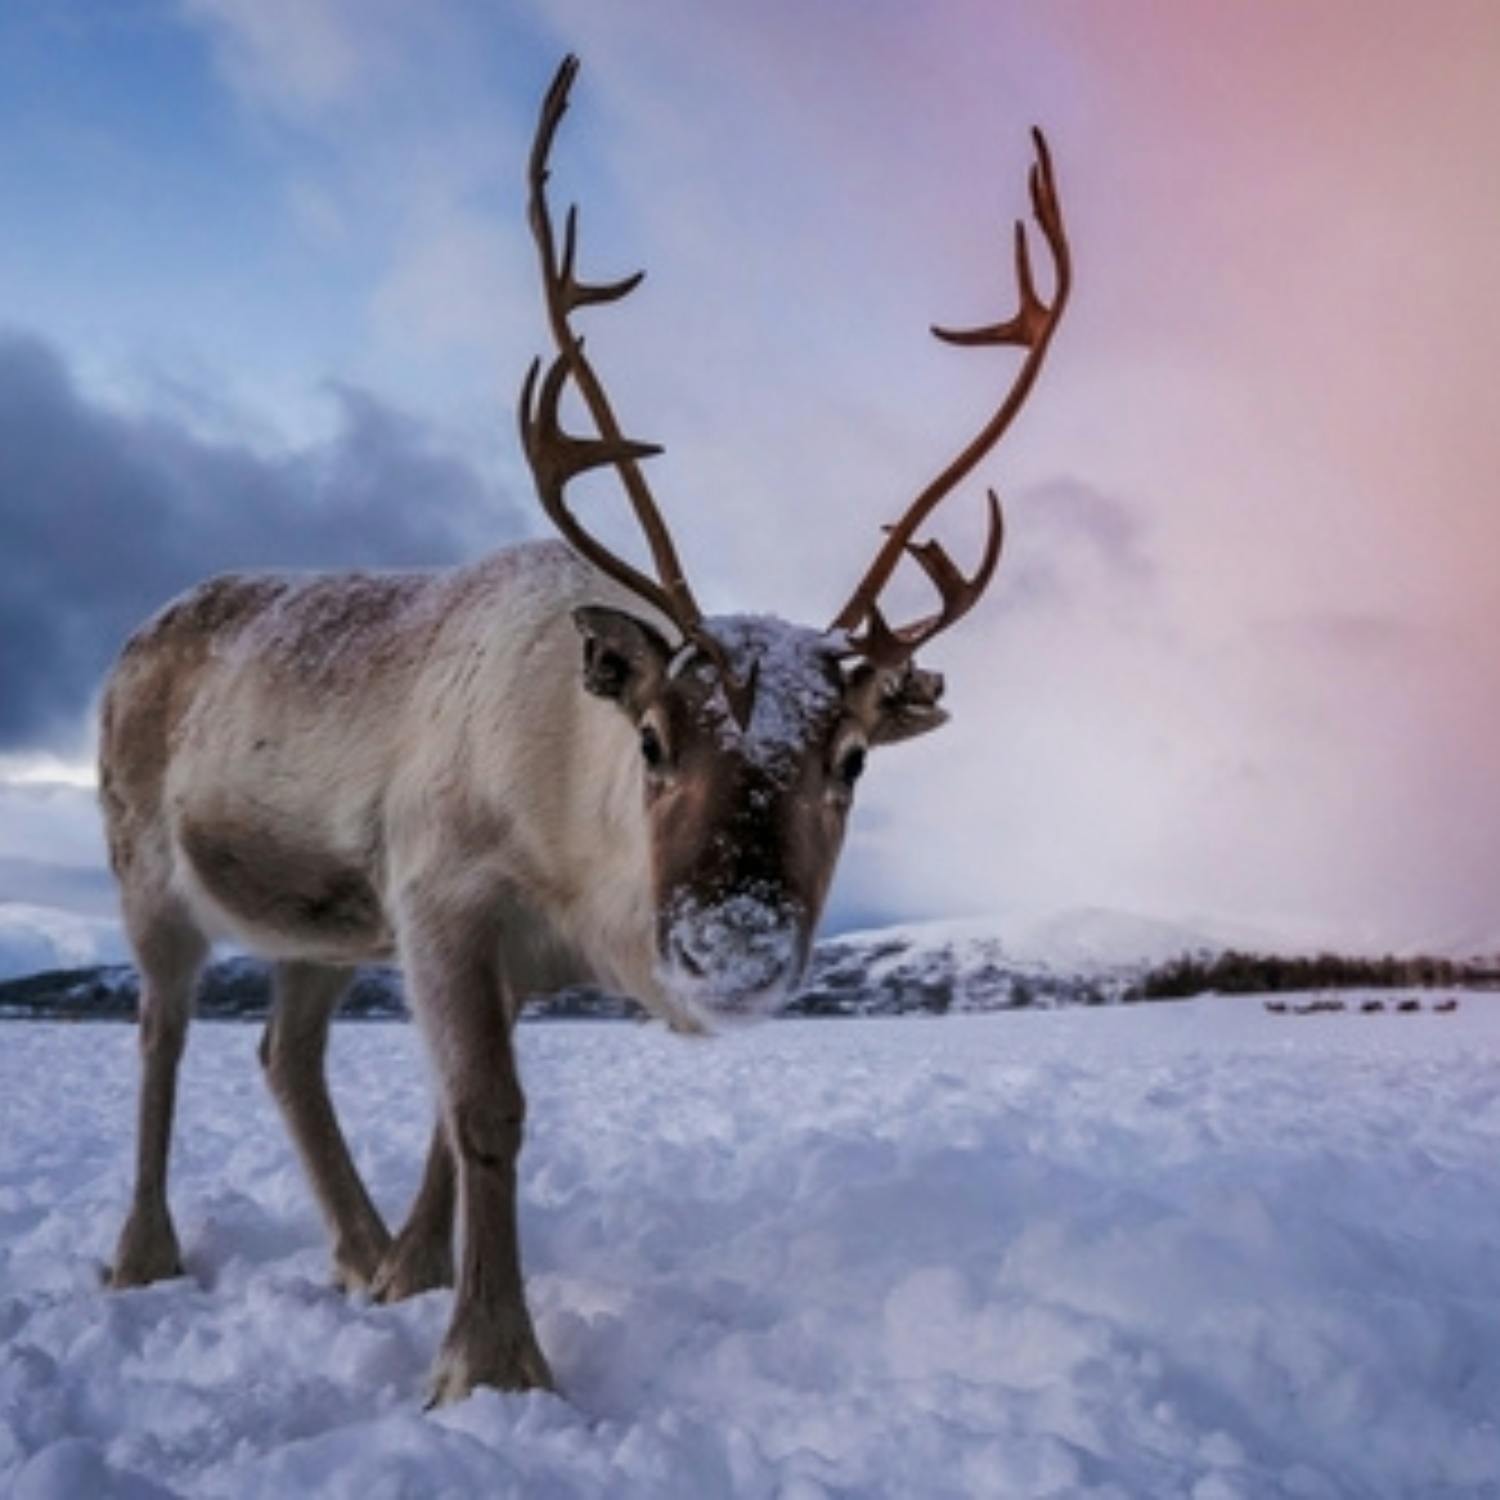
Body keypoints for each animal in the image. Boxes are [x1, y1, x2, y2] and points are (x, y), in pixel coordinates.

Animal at [97, 55, 1071, 1405]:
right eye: (653, 739)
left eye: (853, 758)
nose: (733, 943)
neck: (573, 859)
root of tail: (138, 637)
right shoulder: (441, 892)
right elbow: (486, 1114)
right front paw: (490, 1362)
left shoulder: (474, 944)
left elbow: (450, 1122)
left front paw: (413, 1277)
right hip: (148, 870)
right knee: (161, 1036)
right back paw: (143, 1255)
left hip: (318, 926)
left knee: (285, 1055)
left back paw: (354, 1251)